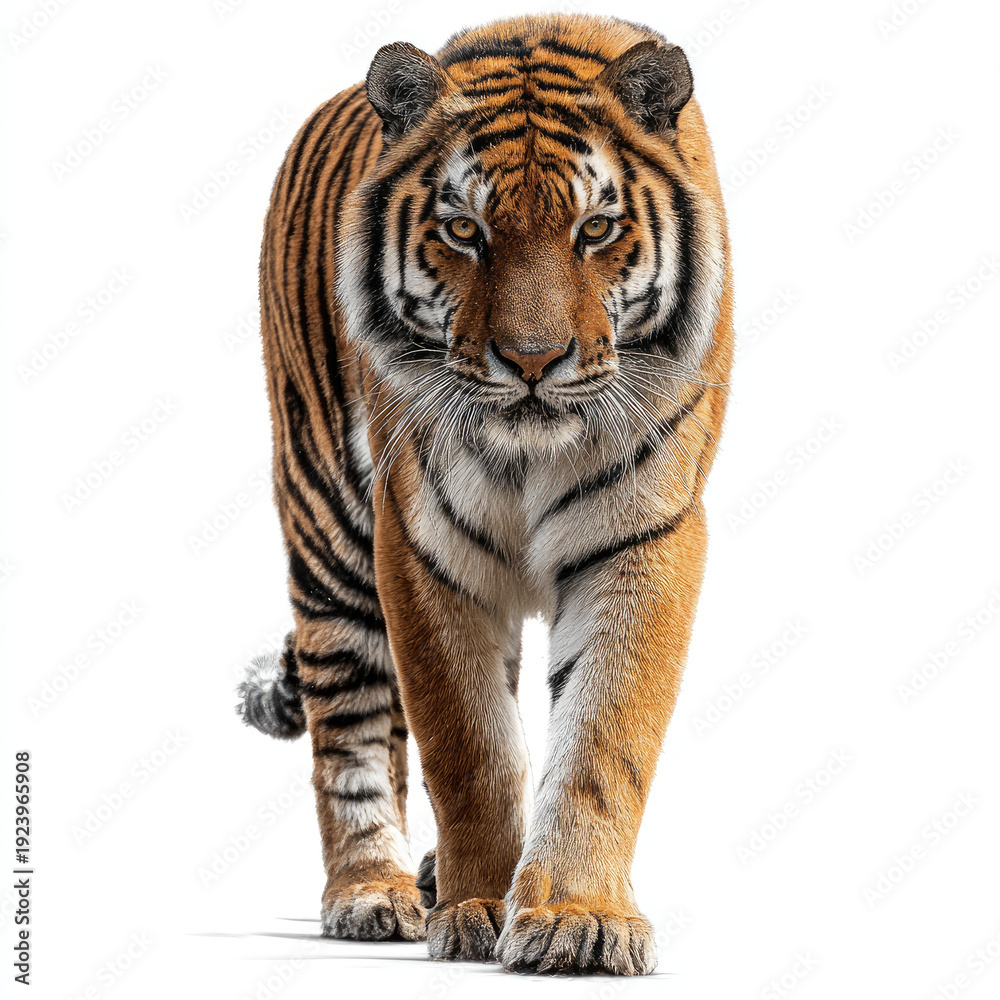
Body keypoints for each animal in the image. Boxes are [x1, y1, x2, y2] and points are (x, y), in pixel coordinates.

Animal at [237, 12, 733, 976]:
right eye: (465, 231)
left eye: (596, 228)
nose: (533, 361)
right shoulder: (422, 545)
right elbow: (466, 744)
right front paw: (475, 909)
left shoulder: (643, 538)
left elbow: (601, 735)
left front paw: (579, 918)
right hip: (327, 526)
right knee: (351, 721)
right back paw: (375, 891)